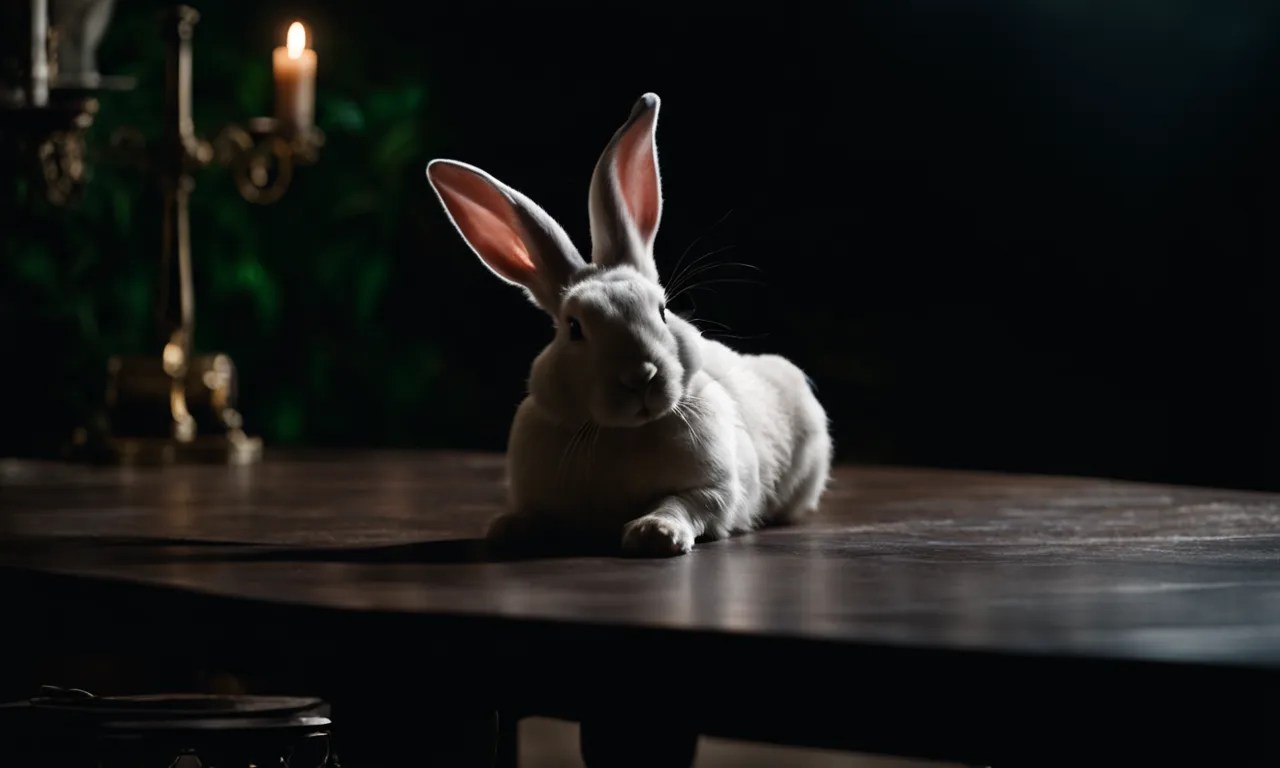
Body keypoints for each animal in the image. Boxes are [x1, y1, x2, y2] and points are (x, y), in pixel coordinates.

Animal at [425, 92, 832, 557]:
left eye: (662, 311)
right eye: (574, 328)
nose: (641, 377)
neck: (621, 432)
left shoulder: (716, 491)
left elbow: (684, 504)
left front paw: (655, 532)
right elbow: (534, 514)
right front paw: (508, 530)